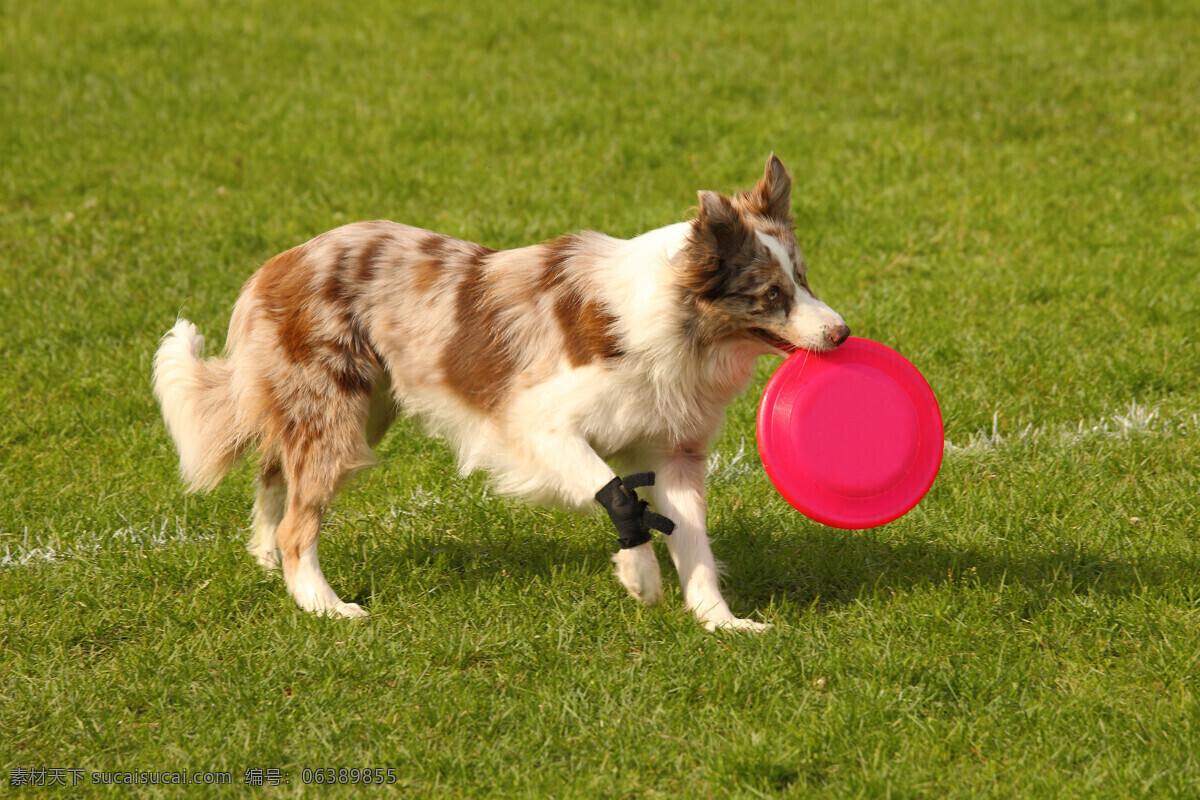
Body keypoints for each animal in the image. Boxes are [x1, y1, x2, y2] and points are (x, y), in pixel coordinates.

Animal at [154, 154, 849, 633]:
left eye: (804, 279)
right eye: (770, 295)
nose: (842, 334)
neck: (680, 326)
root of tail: (276, 264)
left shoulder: (676, 451)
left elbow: (694, 540)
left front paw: (720, 623)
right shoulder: (538, 424)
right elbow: (617, 491)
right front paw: (641, 577)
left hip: (359, 408)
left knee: (274, 476)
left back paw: (267, 559)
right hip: (337, 414)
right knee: (301, 520)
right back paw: (325, 606)